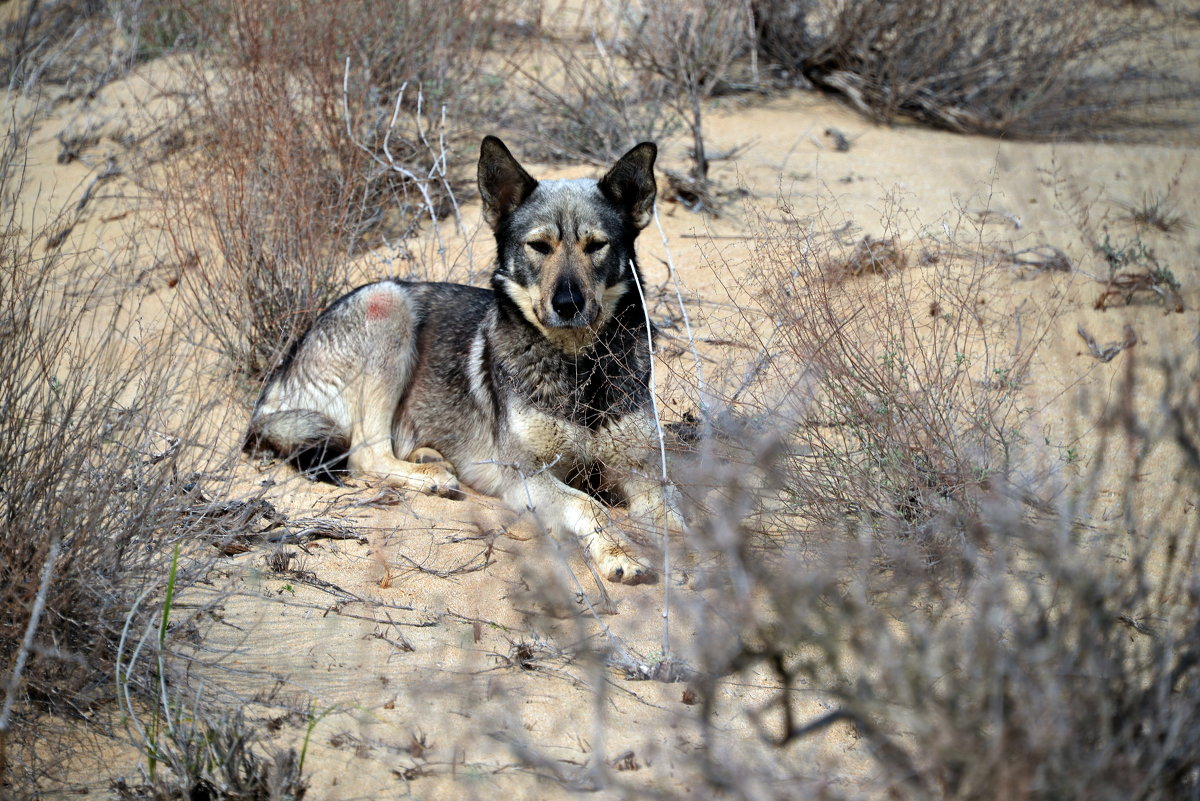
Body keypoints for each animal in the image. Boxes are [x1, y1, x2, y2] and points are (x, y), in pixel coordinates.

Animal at [246, 137, 676, 585]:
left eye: (596, 246)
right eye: (539, 246)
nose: (568, 304)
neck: (578, 365)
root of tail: (279, 379)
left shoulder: (643, 472)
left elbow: (679, 516)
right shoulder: (526, 478)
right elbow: (587, 504)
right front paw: (620, 553)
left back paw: (427, 457)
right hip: (388, 304)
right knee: (365, 453)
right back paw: (431, 476)